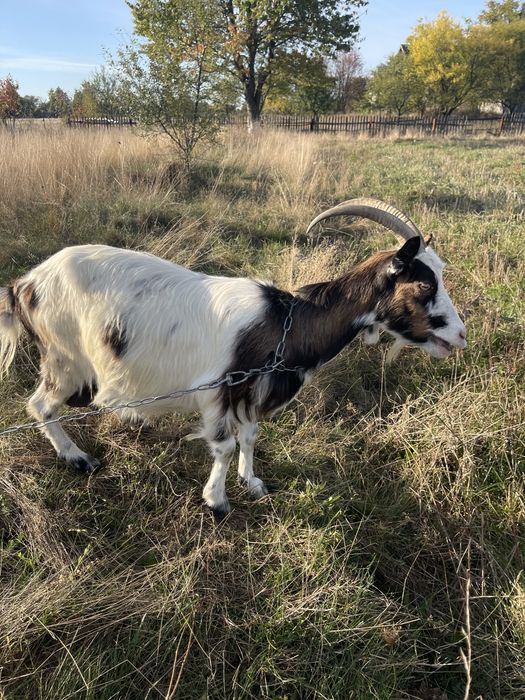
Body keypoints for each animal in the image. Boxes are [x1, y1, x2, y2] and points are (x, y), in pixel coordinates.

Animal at [0, 199, 467, 516]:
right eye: (425, 286)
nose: (460, 335)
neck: (288, 323)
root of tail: (24, 283)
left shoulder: (252, 392)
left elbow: (250, 436)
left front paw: (253, 482)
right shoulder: (219, 391)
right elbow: (223, 446)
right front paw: (217, 500)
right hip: (65, 360)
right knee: (39, 405)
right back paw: (77, 458)